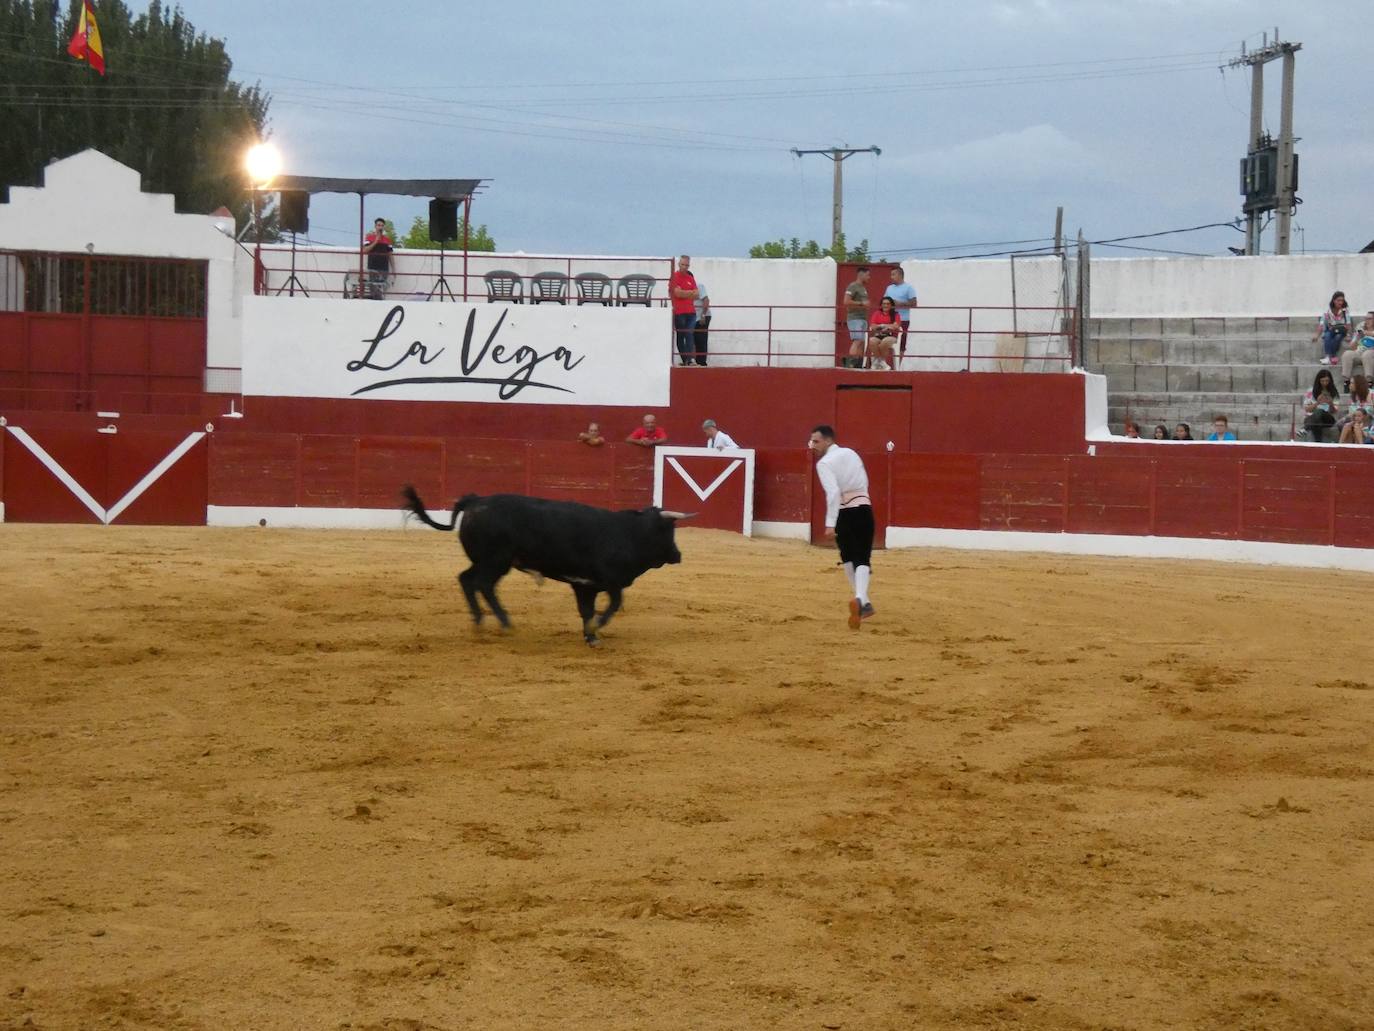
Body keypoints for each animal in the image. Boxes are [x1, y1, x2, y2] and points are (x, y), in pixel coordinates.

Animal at [401, 486, 692, 646]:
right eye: (669, 530)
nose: (678, 554)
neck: (629, 533)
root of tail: (475, 501)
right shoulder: (609, 583)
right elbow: (612, 606)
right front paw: (597, 629)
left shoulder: (584, 586)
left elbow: (586, 611)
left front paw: (590, 636)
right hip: (495, 561)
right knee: (482, 584)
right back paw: (504, 622)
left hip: (486, 561)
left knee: (466, 579)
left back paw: (480, 621)